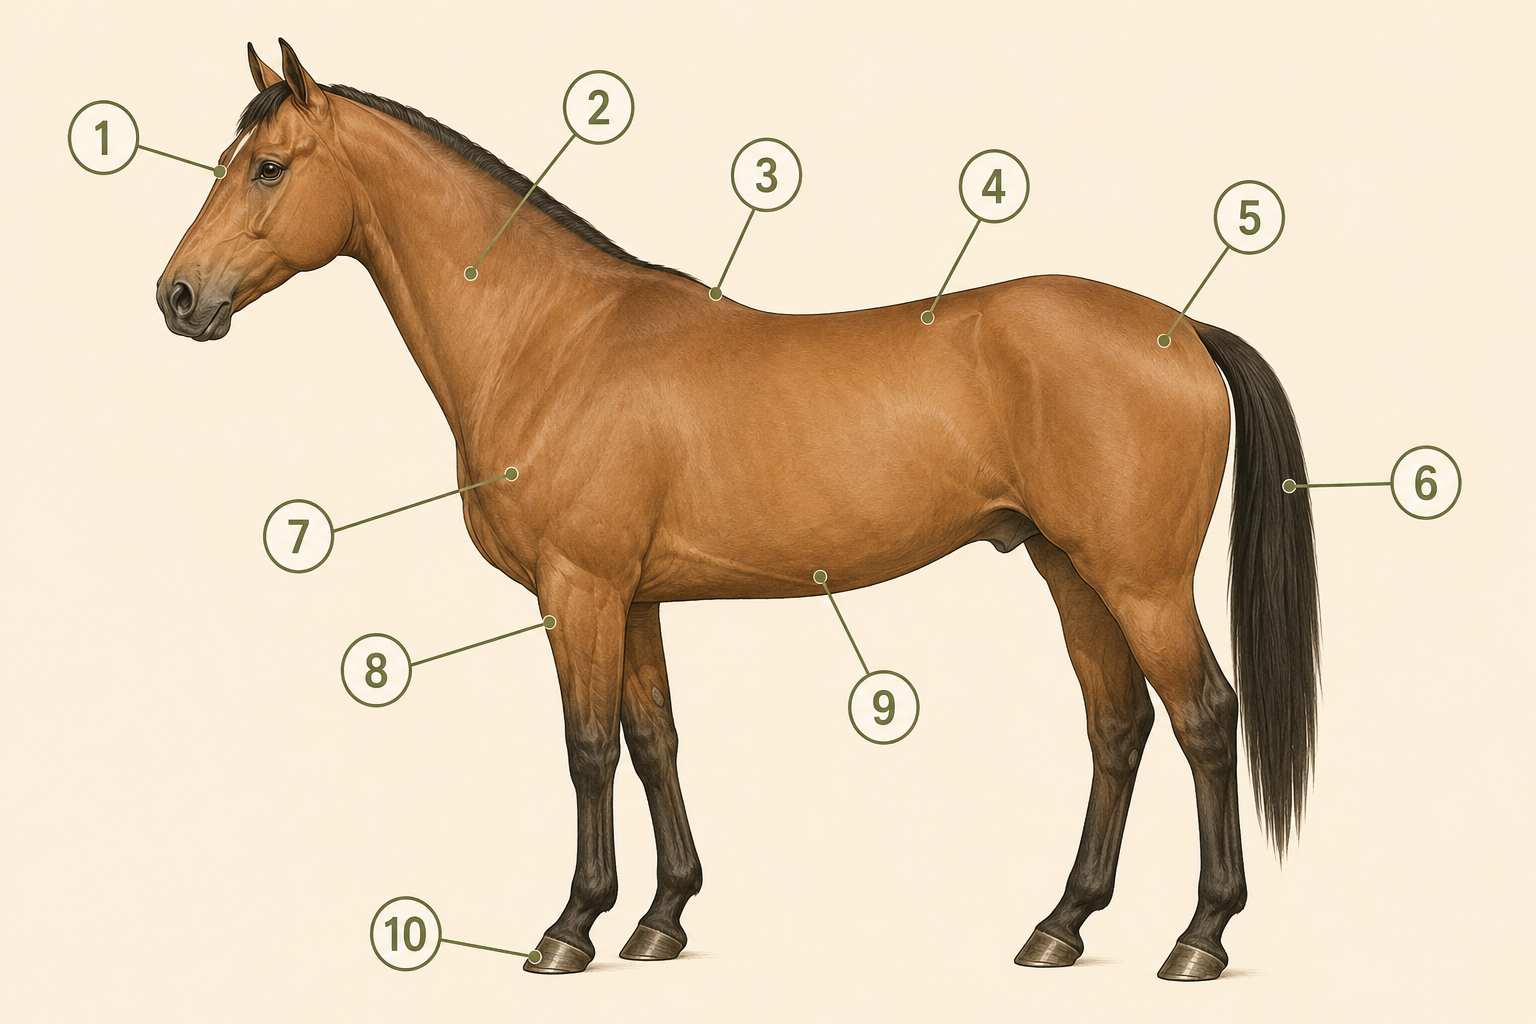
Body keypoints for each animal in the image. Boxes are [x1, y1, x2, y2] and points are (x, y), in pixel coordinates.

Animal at [157, 40, 1319, 981]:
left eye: (267, 166)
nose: (177, 297)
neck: (553, 337)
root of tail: (1181, 330)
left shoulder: (579, 589)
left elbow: (587, 746)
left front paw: (569, 929)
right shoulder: (632, 598)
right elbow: (654, 738)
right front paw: (660, 919)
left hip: (1140, 579)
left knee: (1203, 717)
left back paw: (1200, 938)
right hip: (1069, 571)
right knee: (1117, 727)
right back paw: (1061, 926)